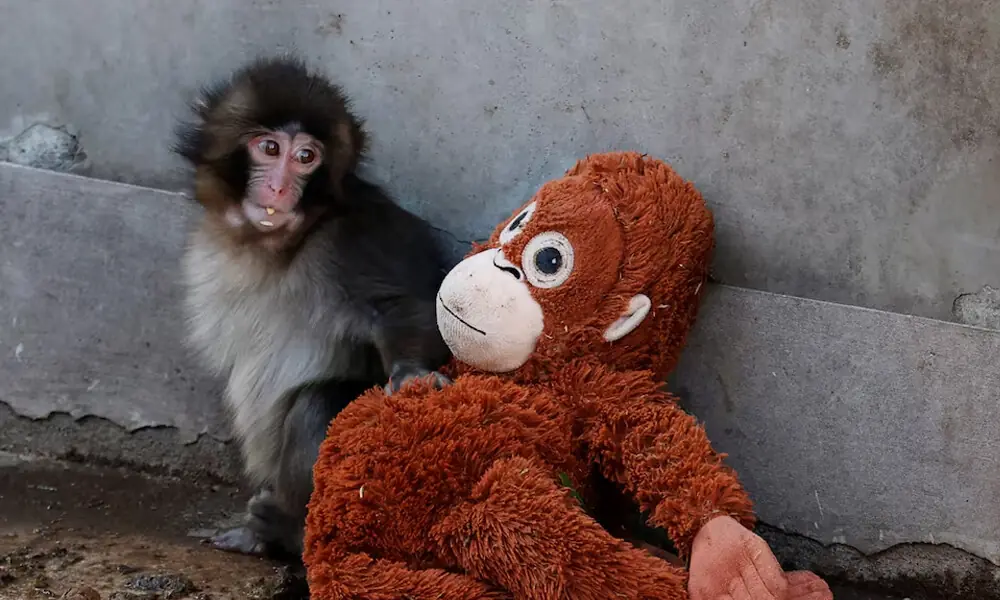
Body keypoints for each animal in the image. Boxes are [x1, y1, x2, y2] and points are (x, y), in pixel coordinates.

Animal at [173, 56, 454, 560]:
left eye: (306, 158)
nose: (281, 187)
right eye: (269, 148)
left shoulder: (355, 237)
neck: (280, 244)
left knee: (316, 405)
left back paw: (286, 529)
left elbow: (409, 306)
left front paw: (412, 374)